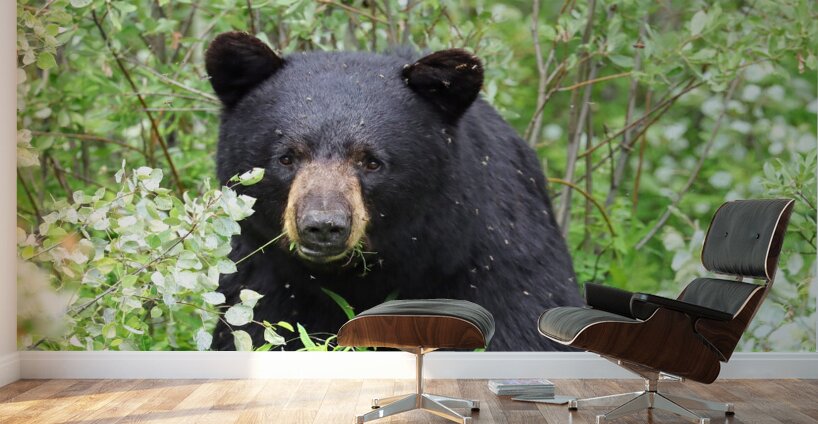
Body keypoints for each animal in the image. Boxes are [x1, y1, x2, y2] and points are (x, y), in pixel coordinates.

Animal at [204, 31, 583, 351]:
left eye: (371, 162)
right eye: (287, 157)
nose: (323, 226)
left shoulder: (497, 260)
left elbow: (525, 326)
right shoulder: (262, 281)